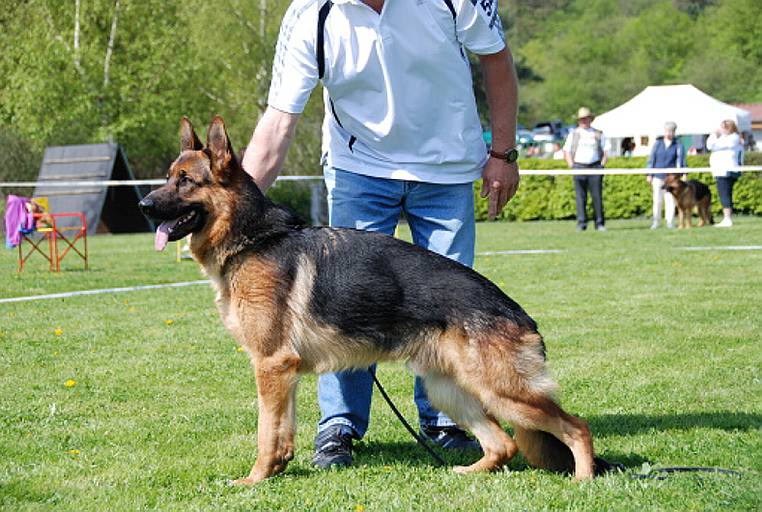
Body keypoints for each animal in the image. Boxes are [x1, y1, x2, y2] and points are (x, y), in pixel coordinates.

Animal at [137, 118, 600, 486]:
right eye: (169, 176)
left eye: (185, 181)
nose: (142, 206)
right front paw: (276, 470)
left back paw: (583, 481)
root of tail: (521, 315)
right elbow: (282, 430)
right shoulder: (283, 372)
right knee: (503, 444)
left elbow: (266, 432)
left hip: (501, 391)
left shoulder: (271, 365)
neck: (254, 239)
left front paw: (254, 479)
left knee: (576, 427)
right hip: (448, 389)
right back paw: (469, 472)